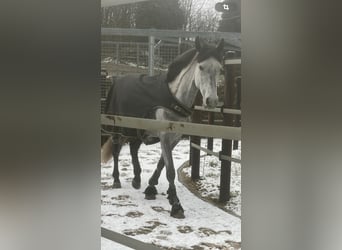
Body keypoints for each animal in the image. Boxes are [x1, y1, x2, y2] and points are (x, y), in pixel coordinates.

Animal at [101, 37, 224, 219]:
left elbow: (161, 164)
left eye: (220, 69)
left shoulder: (175, 138)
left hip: (138, 131)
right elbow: (170, 169)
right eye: (201, 67)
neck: (173, 99)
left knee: (133, 149)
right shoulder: (164, 136)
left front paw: (151, 188)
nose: (212, 101)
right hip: (119, 129)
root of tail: (116, 81)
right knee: (116, 152)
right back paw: (116, 180)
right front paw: (176, 204)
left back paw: (137, 179)